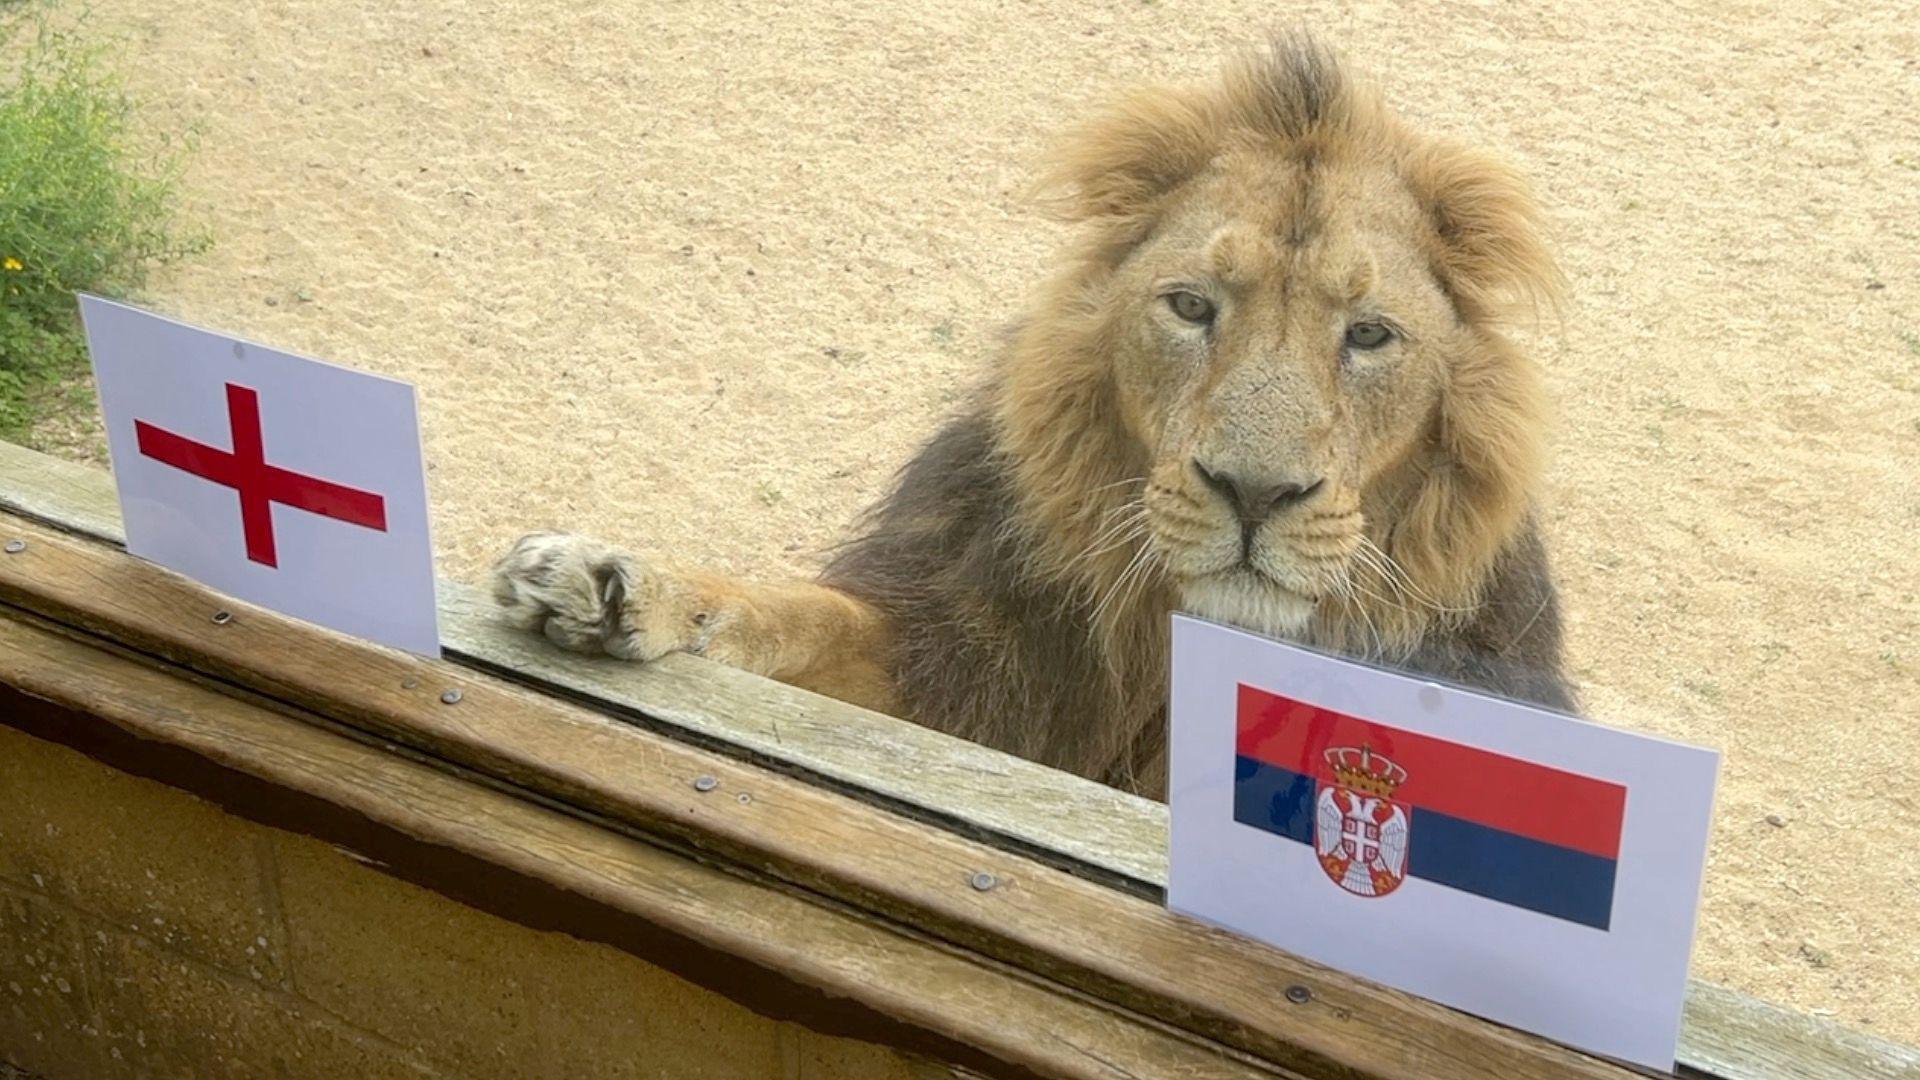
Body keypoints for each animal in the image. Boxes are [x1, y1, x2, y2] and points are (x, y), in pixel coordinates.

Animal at [491, 33, 1574, 795]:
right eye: (1192, 308)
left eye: (1370, 335)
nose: (1254, 494)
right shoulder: (952, 663)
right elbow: (798, 618)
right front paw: (616, 584)